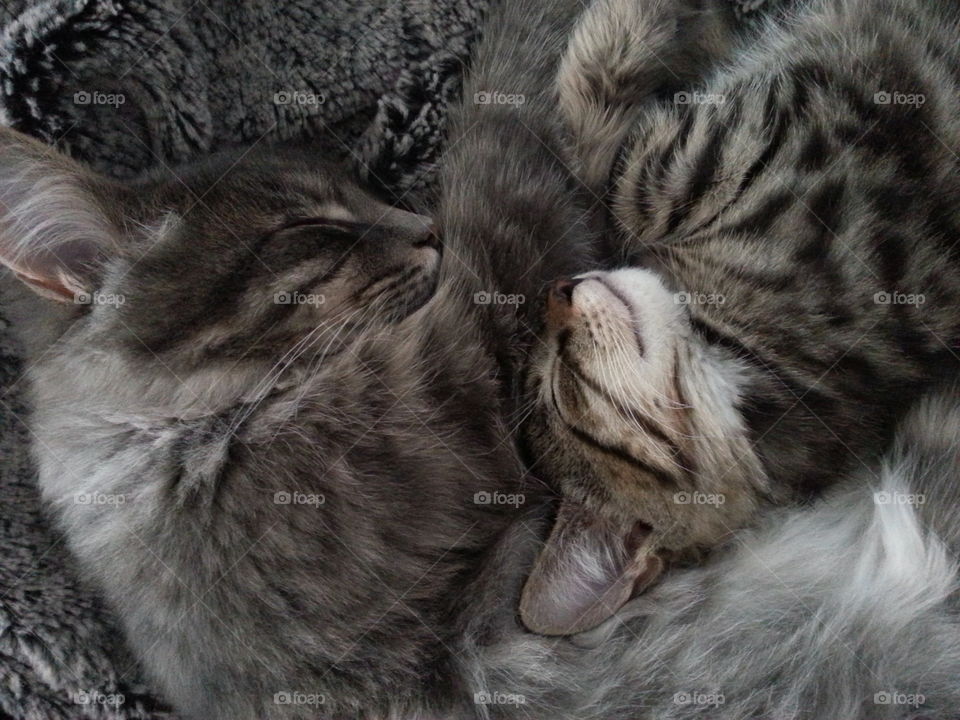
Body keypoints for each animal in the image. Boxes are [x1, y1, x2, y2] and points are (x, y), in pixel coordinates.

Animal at [0, 0, 596, 716]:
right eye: (314, 228)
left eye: (371, 193)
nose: (430, 230)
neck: (184, 435)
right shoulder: (480, 343)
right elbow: (507, 102)